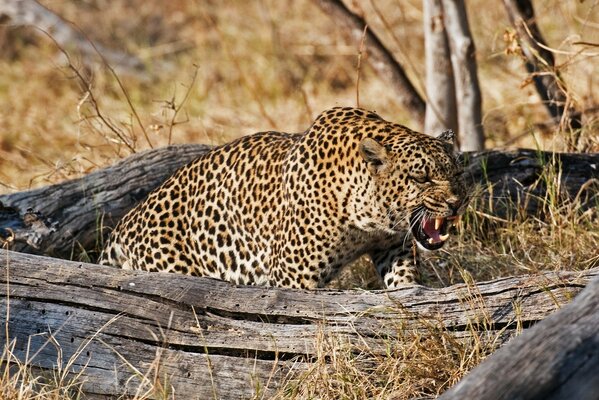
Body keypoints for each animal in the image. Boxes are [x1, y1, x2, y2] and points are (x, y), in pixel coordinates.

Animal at [99, 106, 474, 288]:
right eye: (421, 177)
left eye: (457, 174)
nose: (456, 203)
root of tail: (123, 226)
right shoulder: (294, 277)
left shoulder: (392, 245)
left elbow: (404, 280)